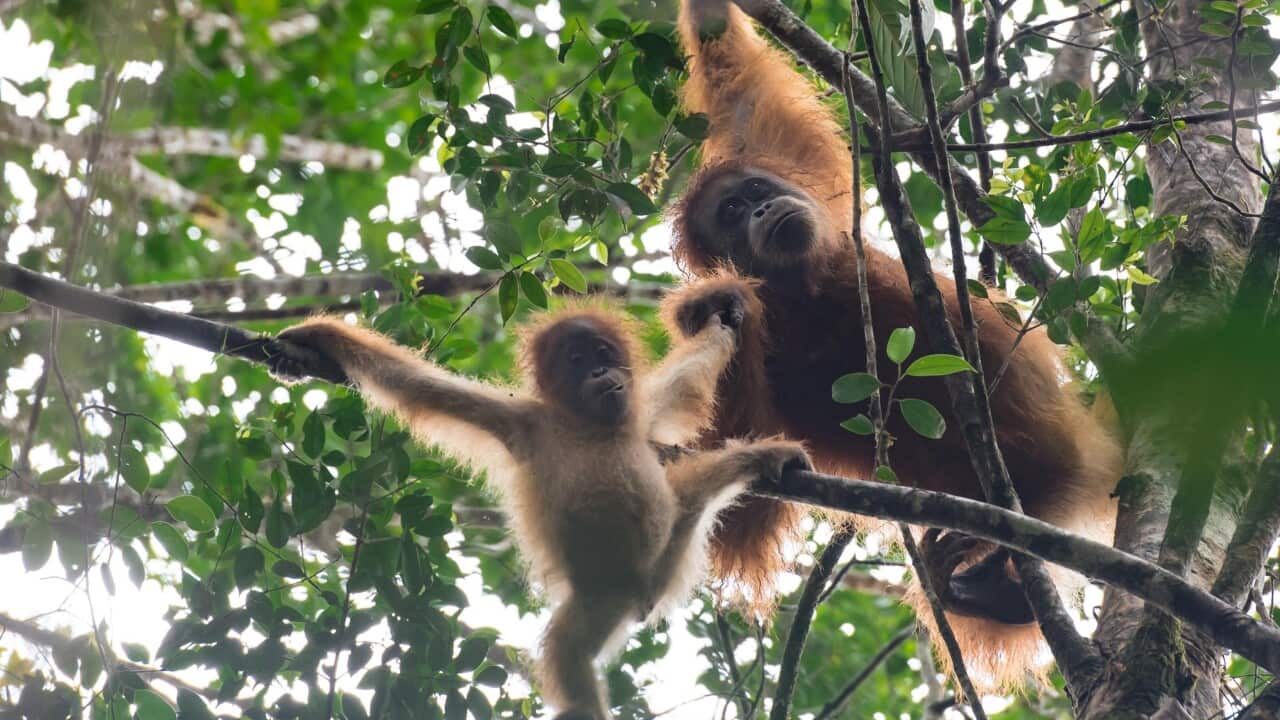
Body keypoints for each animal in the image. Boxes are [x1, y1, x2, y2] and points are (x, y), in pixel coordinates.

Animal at [268, 303, 812, 719]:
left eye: (602, 354)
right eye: (576, 359)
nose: (600, 372)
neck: (591, 429)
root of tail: (643, 597)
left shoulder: (643, 416)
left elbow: (685, 379)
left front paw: (722, 328)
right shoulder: (520, 421)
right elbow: (416, 385)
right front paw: (317, 336)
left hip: (666, 558)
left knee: (697, 490)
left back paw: (763, 458)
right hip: (600, 600)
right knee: (569, 653)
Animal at [668, 0, 1124, 691]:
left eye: (753, 195)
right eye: (731, 216)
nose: (762, 210)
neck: (808, 292)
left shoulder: (789, 169)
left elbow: (736, 82)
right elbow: (738, 508)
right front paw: (720, 306)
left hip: (1055, 459)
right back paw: (987, 597)